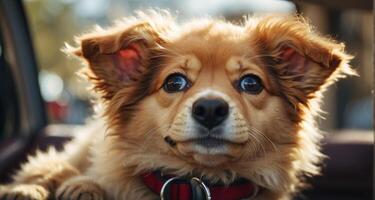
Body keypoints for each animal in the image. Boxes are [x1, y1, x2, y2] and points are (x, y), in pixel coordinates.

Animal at [0, 10, 356, 200]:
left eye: (251, 83)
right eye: (175, 82)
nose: (210, 108)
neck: (197, 182)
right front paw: (80, 185)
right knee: (49, 167)